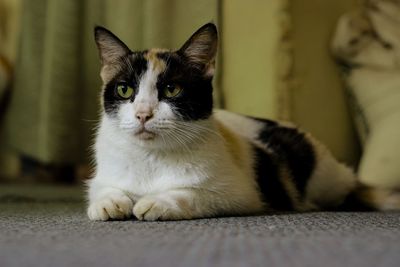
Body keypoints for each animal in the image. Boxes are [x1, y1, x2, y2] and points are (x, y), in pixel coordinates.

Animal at [86, 23, 398, 221]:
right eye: (124, 89)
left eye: (172, 89)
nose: (143, 113)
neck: (151, 158)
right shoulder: (104, 175)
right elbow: (101, 188)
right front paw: (109, 202)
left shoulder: (239, 193)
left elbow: (192, 193)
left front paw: (157, 201)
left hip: (325, 179)